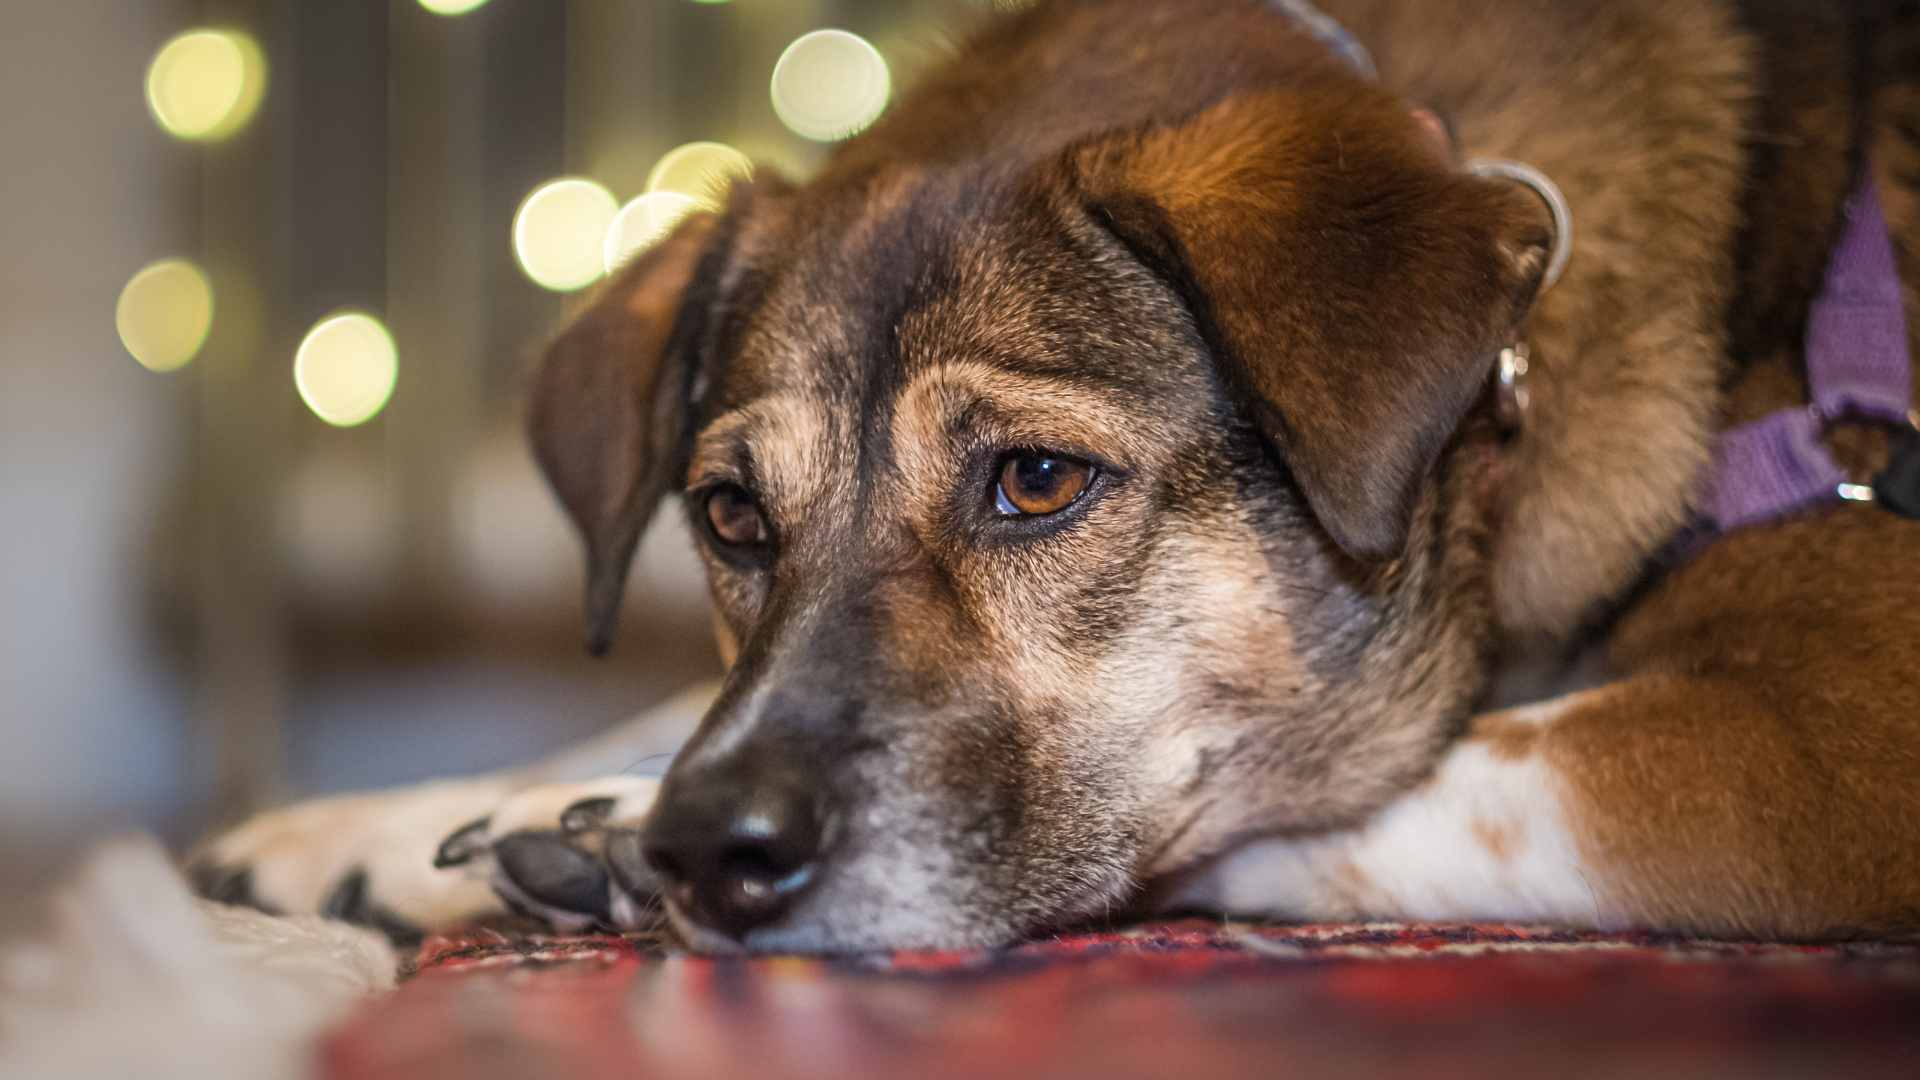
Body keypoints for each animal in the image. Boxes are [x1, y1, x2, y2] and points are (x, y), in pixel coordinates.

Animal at [194, 0, 1920, 941]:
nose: (705, 848)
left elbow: (1362, 791)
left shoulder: (1828, 742)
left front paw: (602, 824)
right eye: (732, 515)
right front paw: (384, 830)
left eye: (1034, 481)